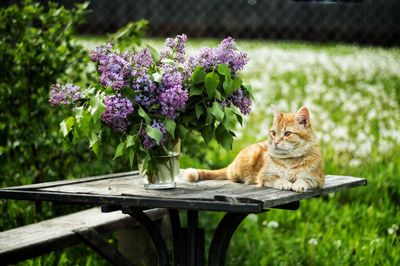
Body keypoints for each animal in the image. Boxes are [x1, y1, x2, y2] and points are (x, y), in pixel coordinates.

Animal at [183, 106, 324, 191]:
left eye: (287, 133)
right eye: (273, 133)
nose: (275, 142)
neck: (289, 160)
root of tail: (232, 164)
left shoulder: (318, 179)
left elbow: (305, 179)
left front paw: (299, 183)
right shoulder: (264, 176)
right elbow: (277, 178)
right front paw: (284, 182)